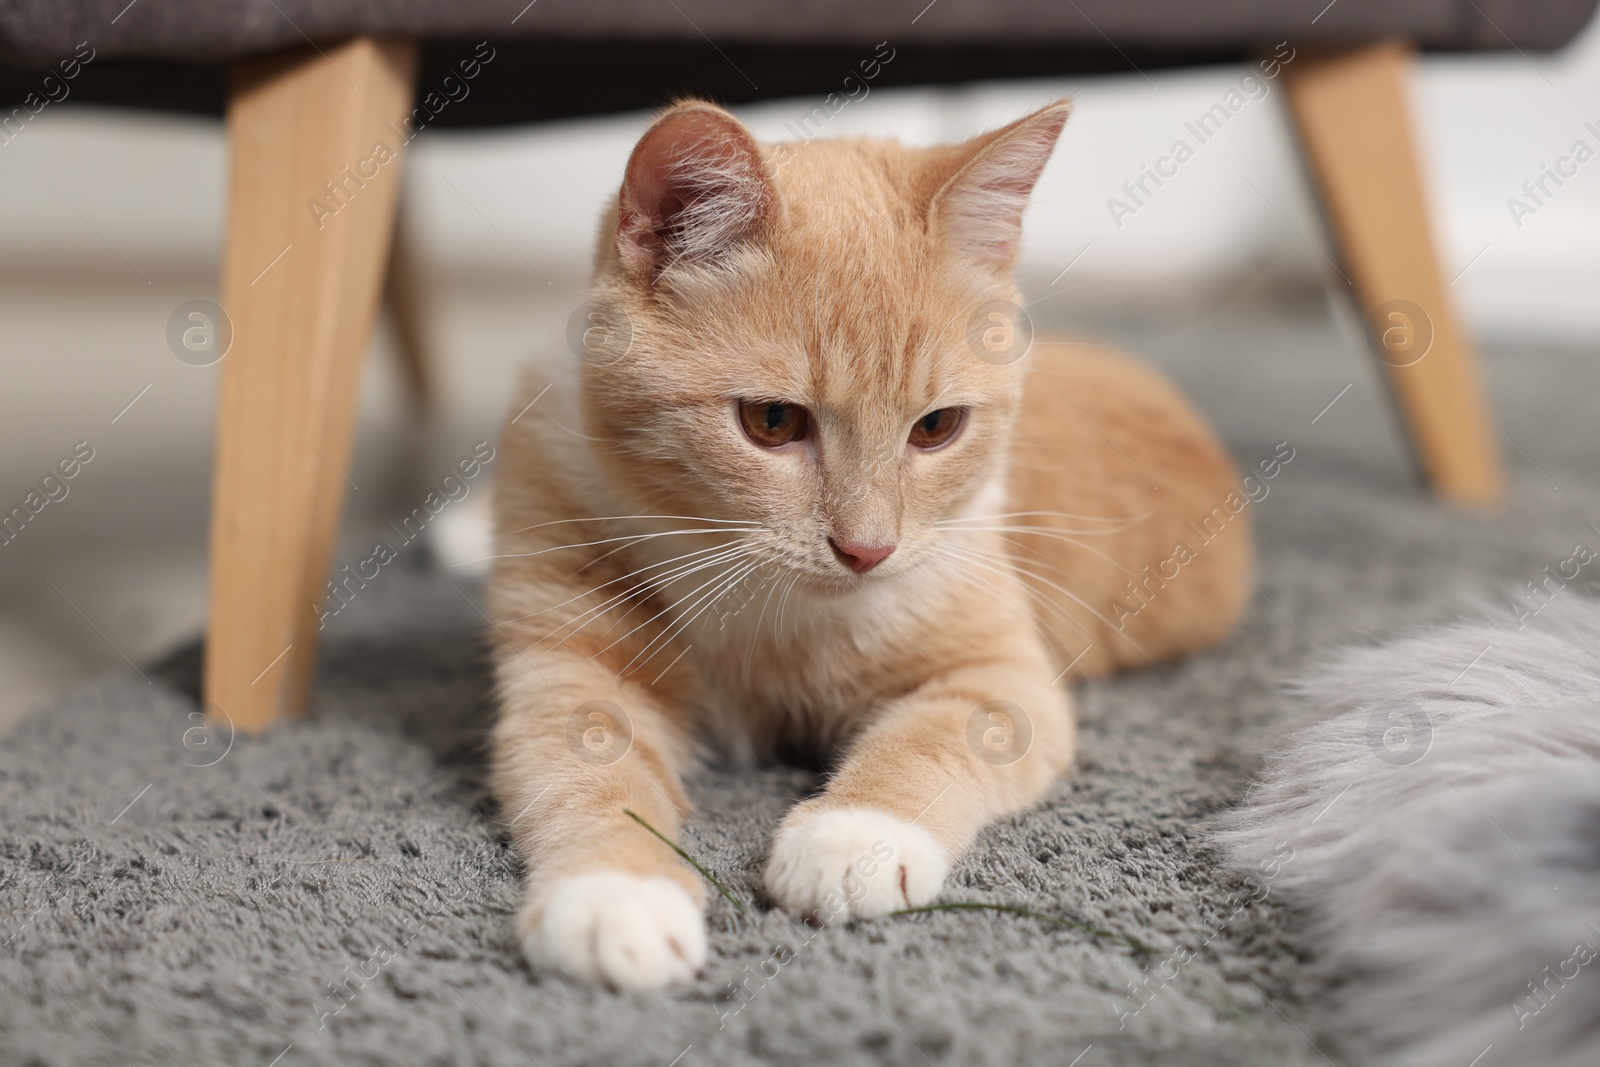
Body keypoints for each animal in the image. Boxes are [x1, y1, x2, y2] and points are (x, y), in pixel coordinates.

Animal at [489, 99, 1248, 991]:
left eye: (938, 426)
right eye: (771, 421)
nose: (867, 550)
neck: (764, 610)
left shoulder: (999, 676)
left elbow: (928, 739)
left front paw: (854, 836)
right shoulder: (568, 669)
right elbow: (586, 768)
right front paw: (614, 893)